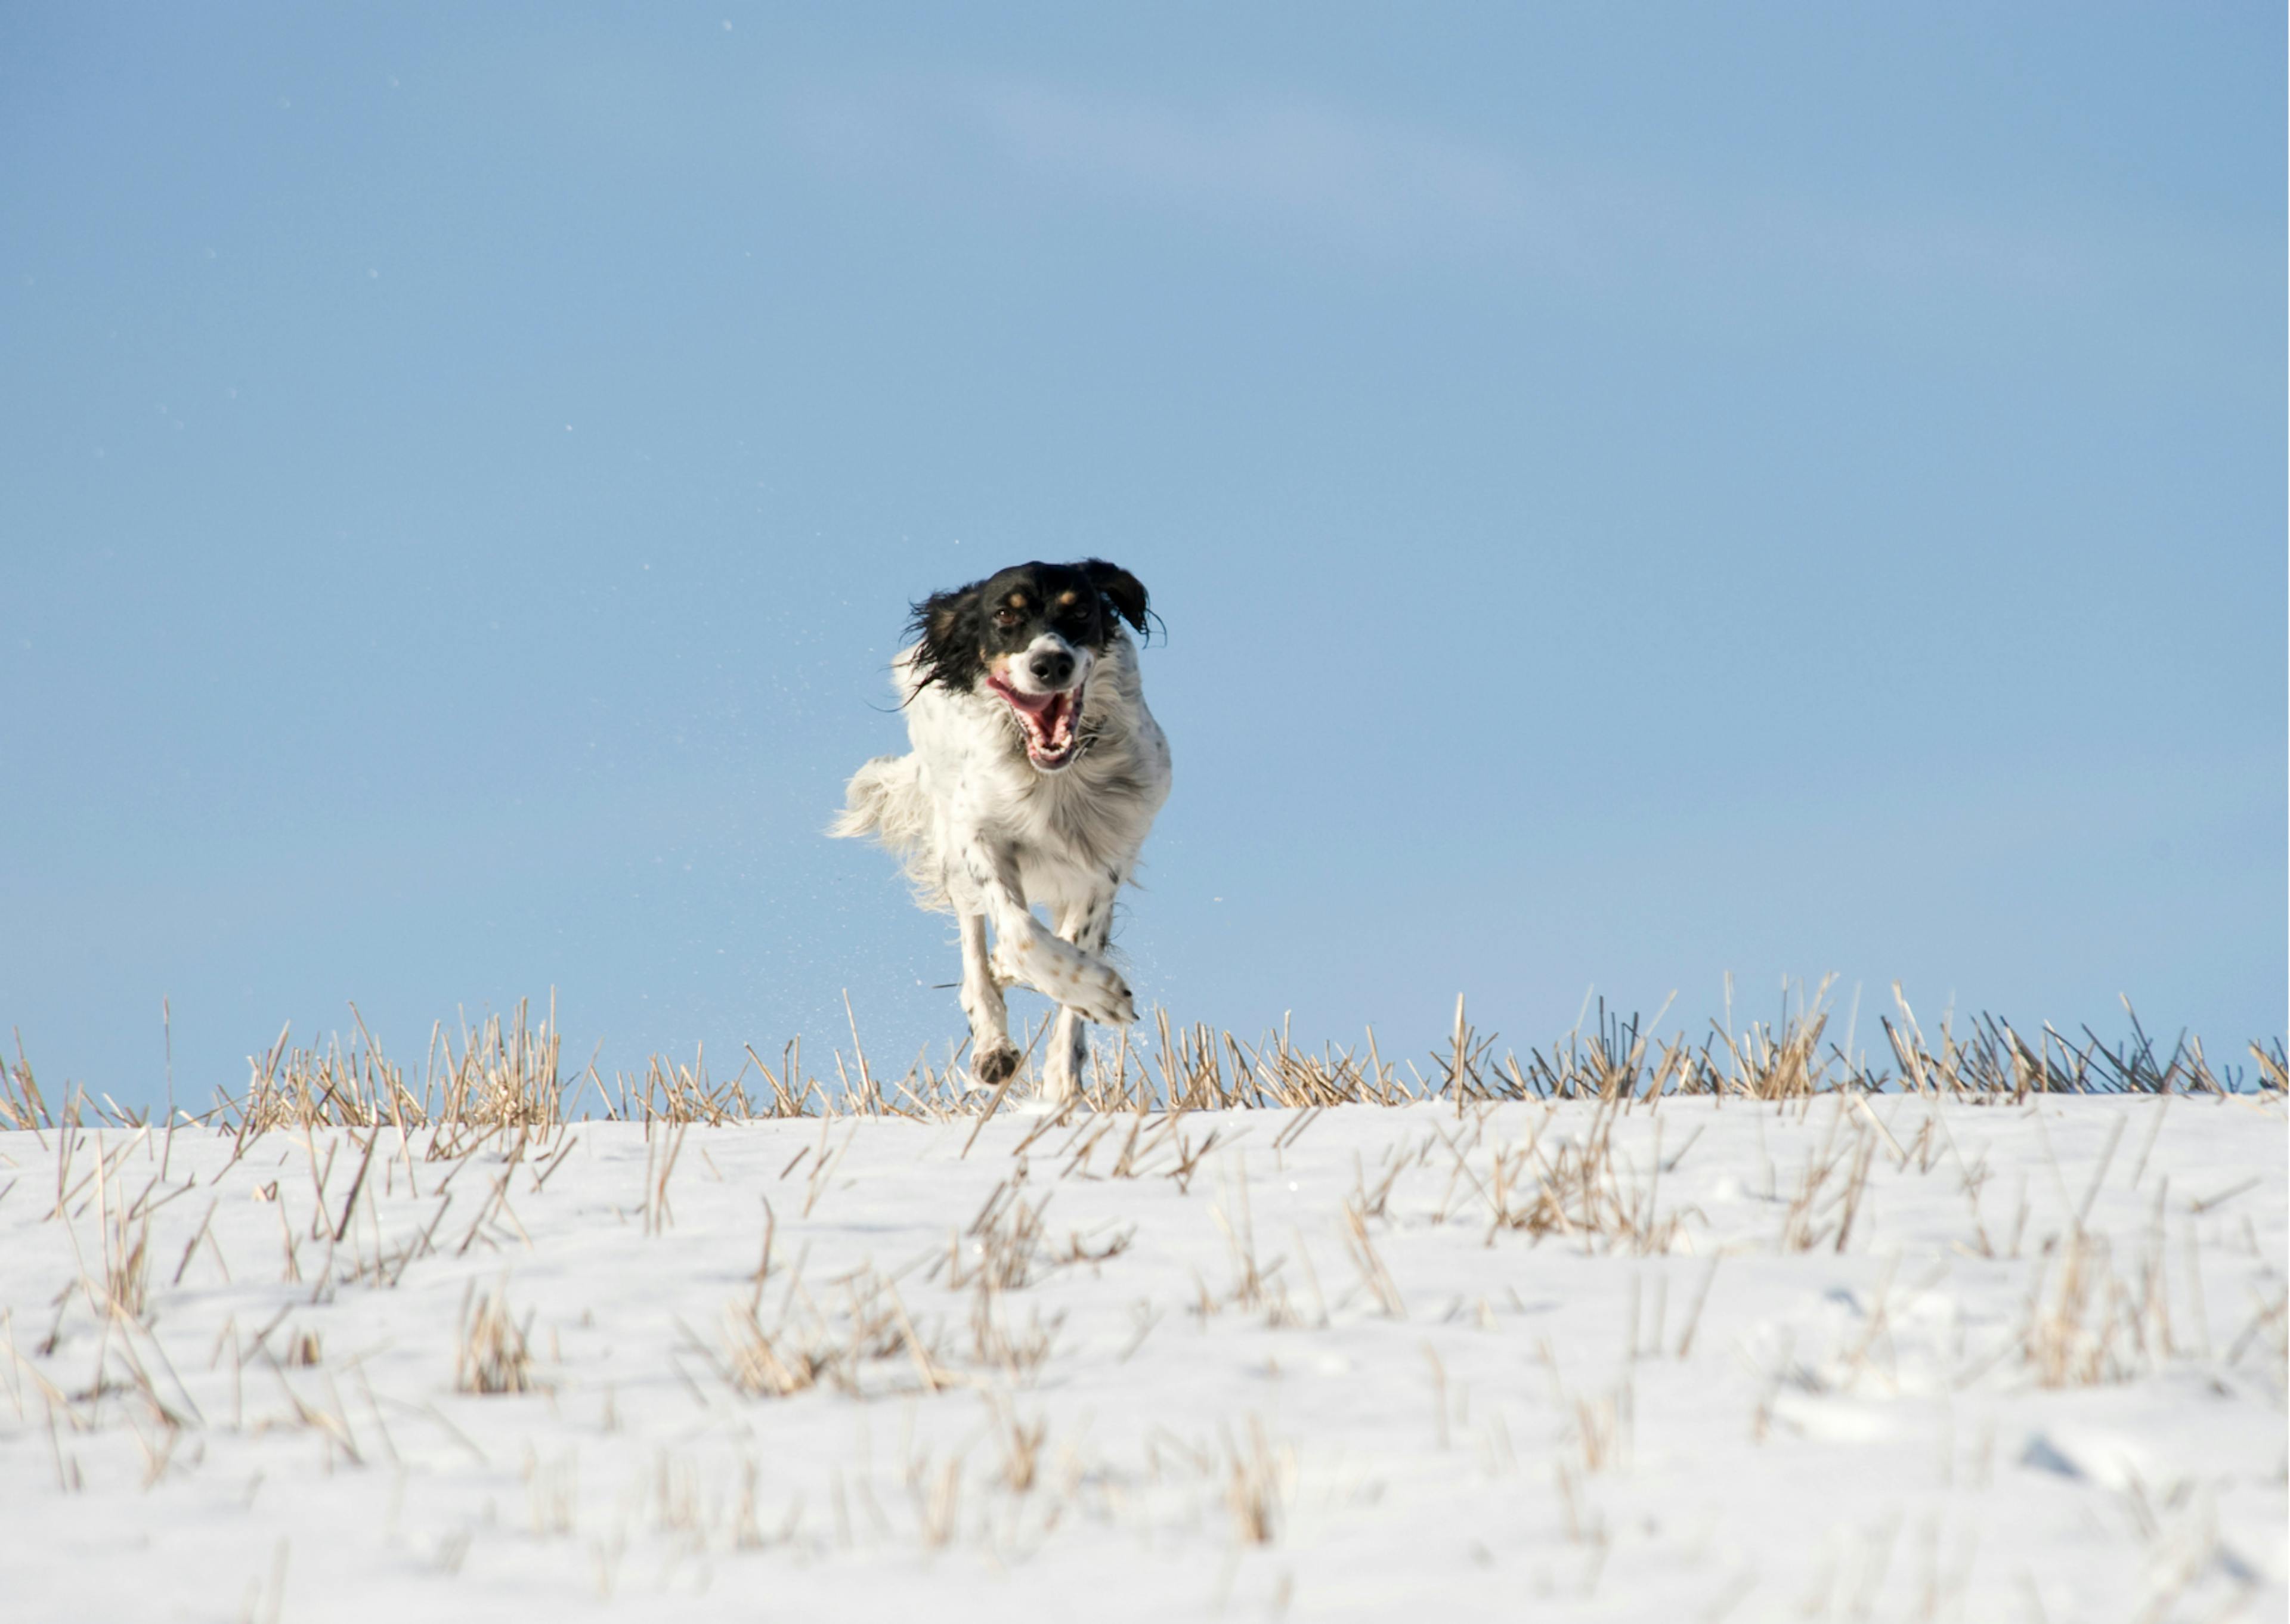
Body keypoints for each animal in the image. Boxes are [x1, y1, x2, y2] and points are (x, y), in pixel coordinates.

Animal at [833, 556, 1172, 1104]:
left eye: (1080, 610)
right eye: (1005, 616)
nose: (1051, 664)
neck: (1054, 776)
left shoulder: (1104, 860)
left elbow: (1073, 946)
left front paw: (1062, 1075)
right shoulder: (980, 834)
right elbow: (1018, 933)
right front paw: (1094, 990)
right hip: (951, 839)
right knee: (975, 941)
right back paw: (992, 1045)